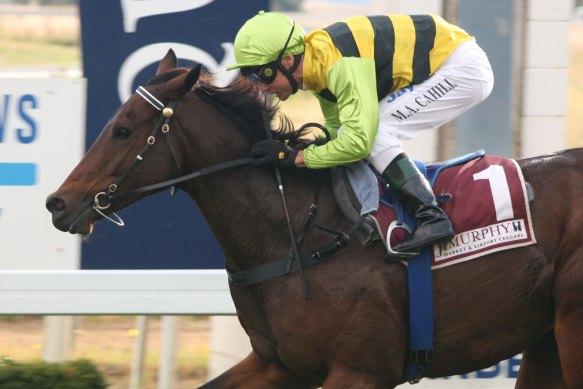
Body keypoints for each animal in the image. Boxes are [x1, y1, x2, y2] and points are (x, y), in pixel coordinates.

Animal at [46, 49, 583, 388]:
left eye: (123, 130)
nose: (58, 203)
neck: (295, 234)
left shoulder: (360, 372)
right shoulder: (277, 365)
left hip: (569, 330)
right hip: (544, 342)